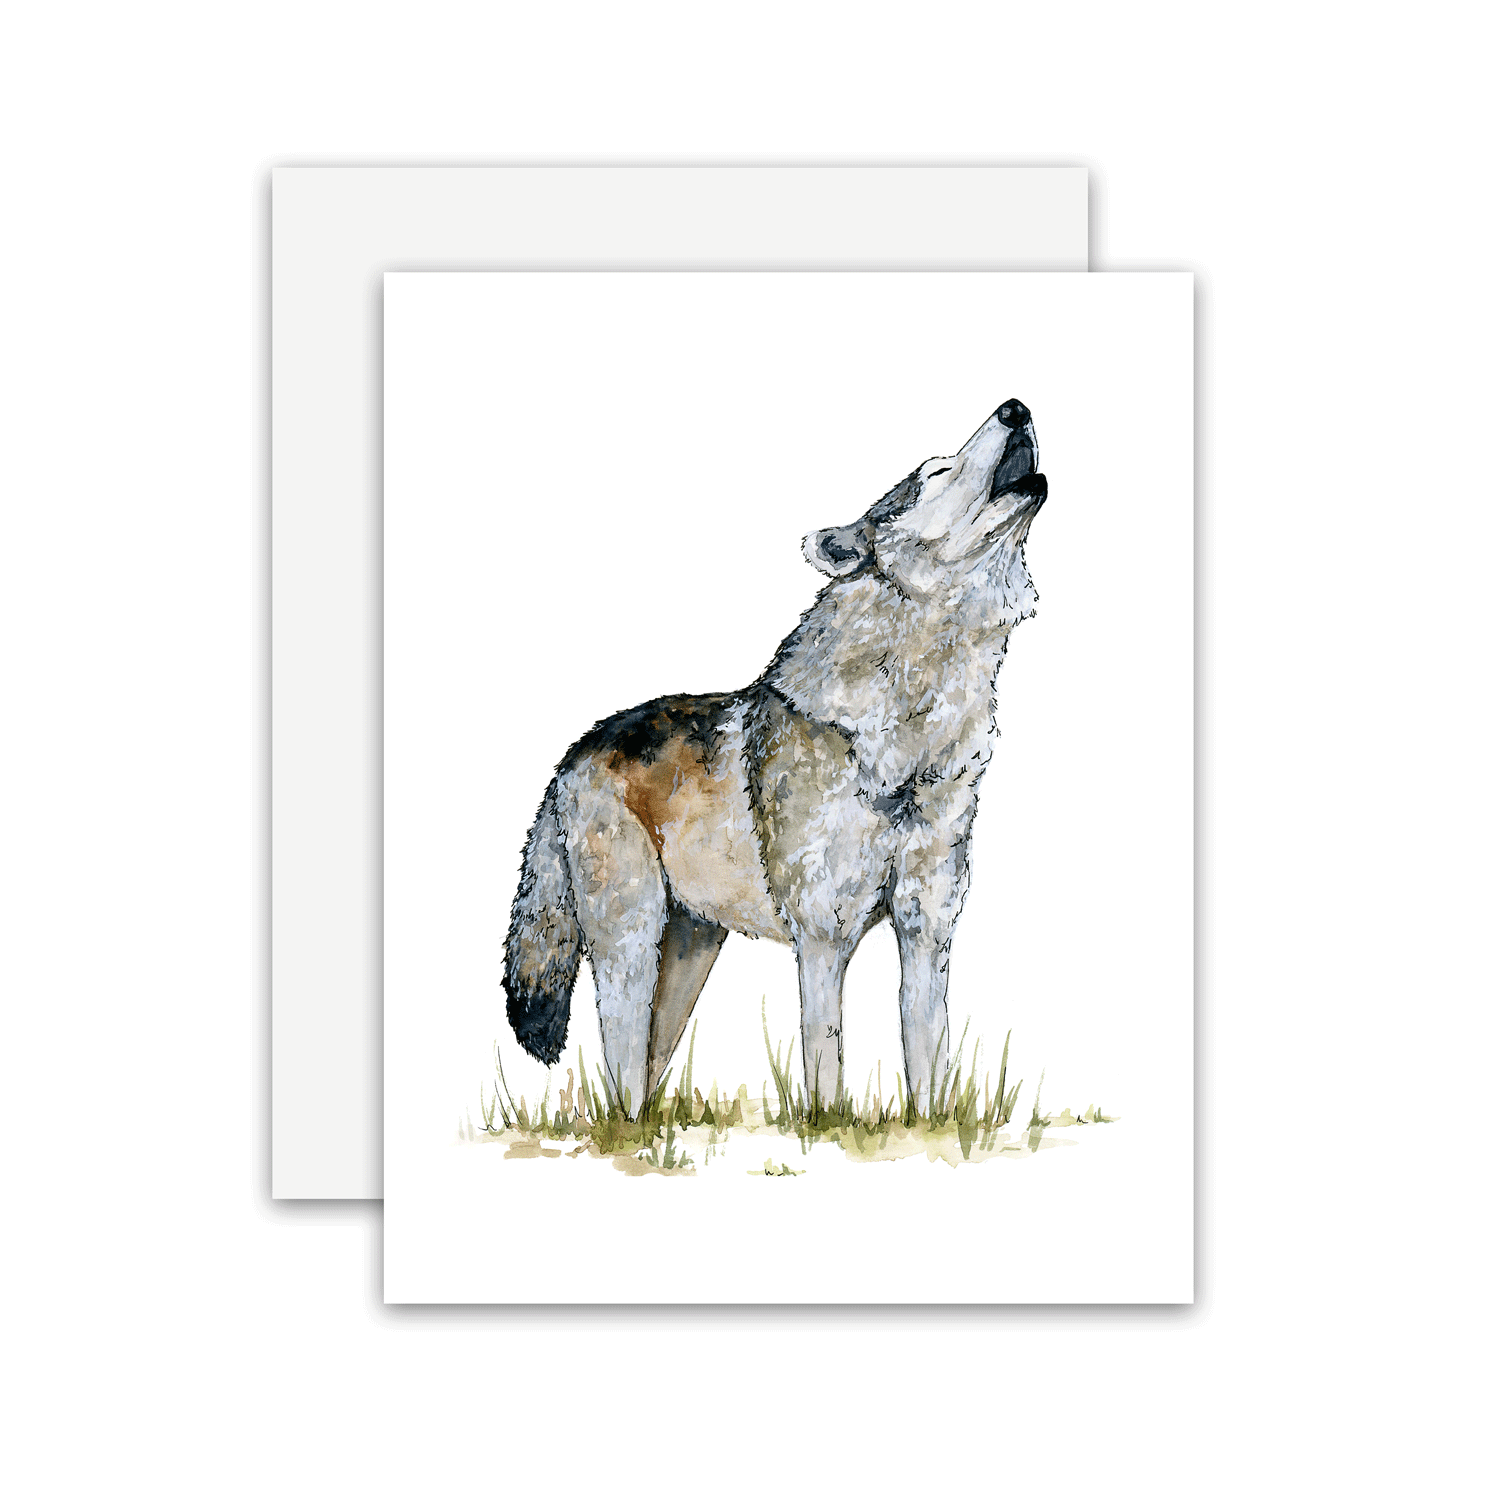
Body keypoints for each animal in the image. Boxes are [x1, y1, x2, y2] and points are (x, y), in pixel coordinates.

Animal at [503, 399, 1047, 1115]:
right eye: (936, 471)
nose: (1017, 408)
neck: (904, 747)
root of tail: (573, 753)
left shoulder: (928, 932)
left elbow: (929, 1064)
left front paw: (928, 1129)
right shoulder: (822, 936)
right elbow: (825, 1065)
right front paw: (827, 1128)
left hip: (686, 959)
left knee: (644, 1071)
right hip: (631, 947)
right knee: (617, 1066)